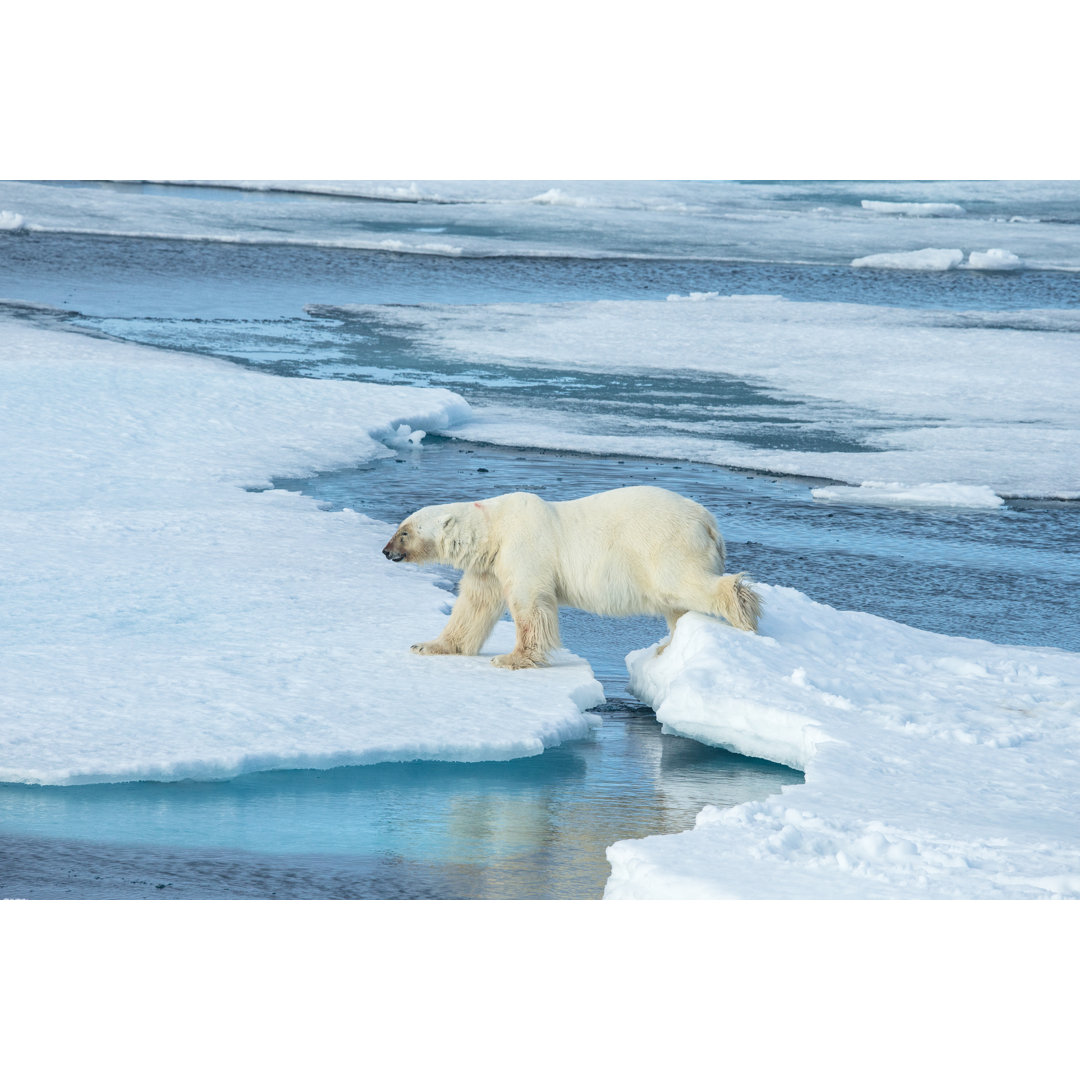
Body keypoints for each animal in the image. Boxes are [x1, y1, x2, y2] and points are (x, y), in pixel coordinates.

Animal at [380, 488, 760, 665]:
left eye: (404, 532)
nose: (385, 551)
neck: (494, 528)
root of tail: (709, 522)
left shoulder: (524, 549)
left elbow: (530, 605)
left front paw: (512, 658)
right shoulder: (489, 565)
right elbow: (473, 606)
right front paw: (427, 645)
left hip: (665, 545)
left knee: (683, 584)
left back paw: (742, 610)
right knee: (675, 603)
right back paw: (668, 646)